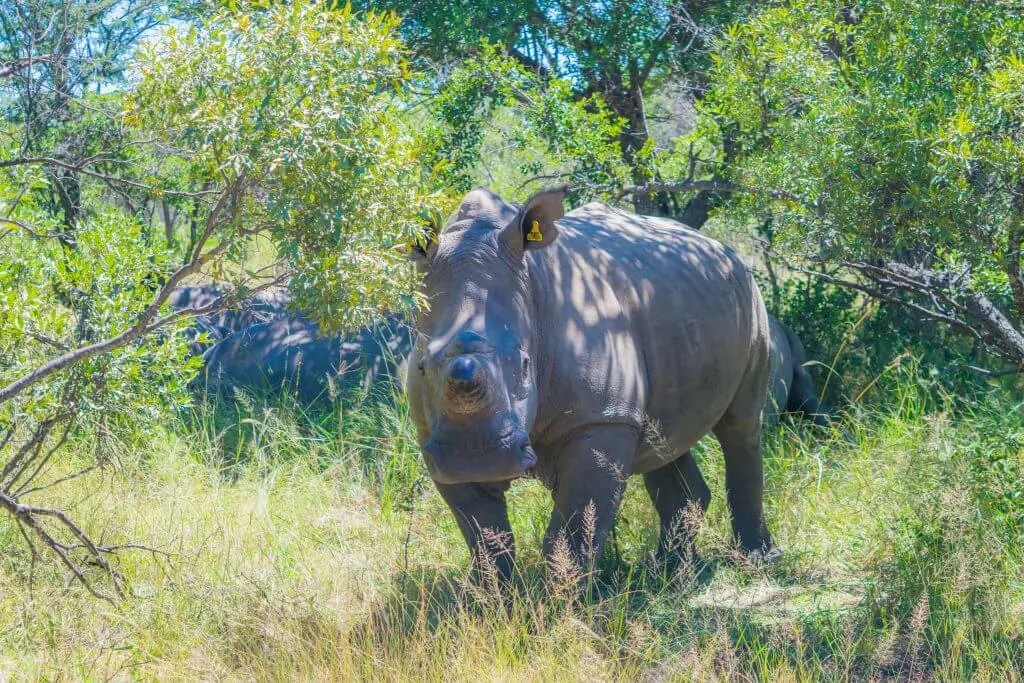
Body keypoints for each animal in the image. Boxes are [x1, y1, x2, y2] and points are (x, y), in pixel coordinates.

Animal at [406, 187, 777, 581]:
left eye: (525, 365)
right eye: (422, 367)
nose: (478, 458)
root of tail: (721, 246)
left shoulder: (601, 417)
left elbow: (572, 528)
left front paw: (564, 594)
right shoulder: (433, 437)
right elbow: (485, 537)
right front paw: (491, 595)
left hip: (748, 295)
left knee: (741, 424)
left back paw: (756, 559)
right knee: (665, 437)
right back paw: (670, 571)